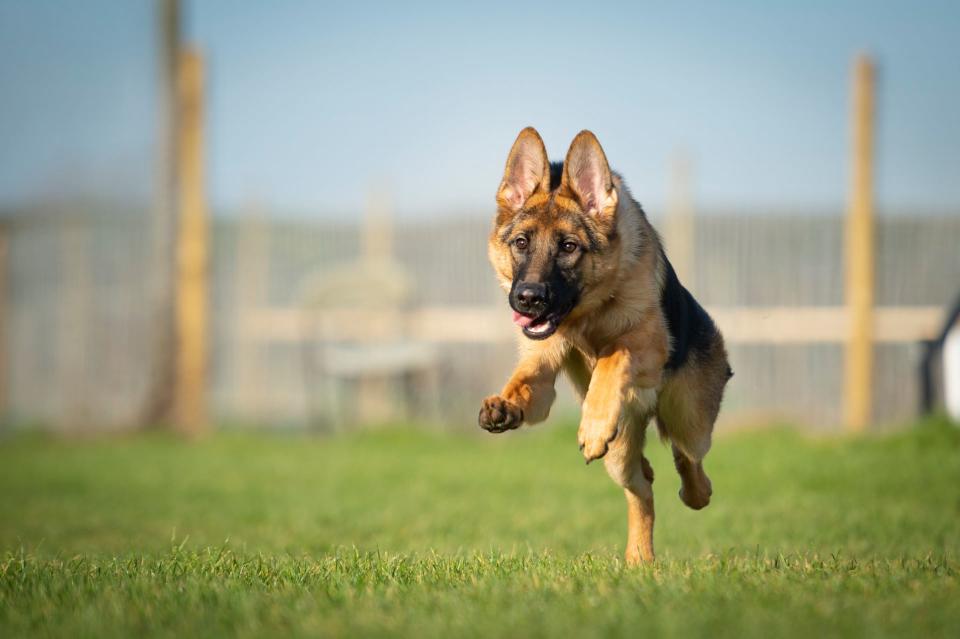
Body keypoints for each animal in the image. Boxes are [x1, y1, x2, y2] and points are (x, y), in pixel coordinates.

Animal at [476, 126, 732, 564]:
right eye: (522, 243)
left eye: (568, 247)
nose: (527, 298)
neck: (587, 314)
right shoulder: (541, 372)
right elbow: (525, 381)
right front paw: (505, 404)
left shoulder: (647, 345)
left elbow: (614, 355)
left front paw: (594, 424)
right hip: (621, 457)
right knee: (643, 485)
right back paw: (639, 558)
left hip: (690, 419)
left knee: (688, 458)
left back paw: (694, 492)